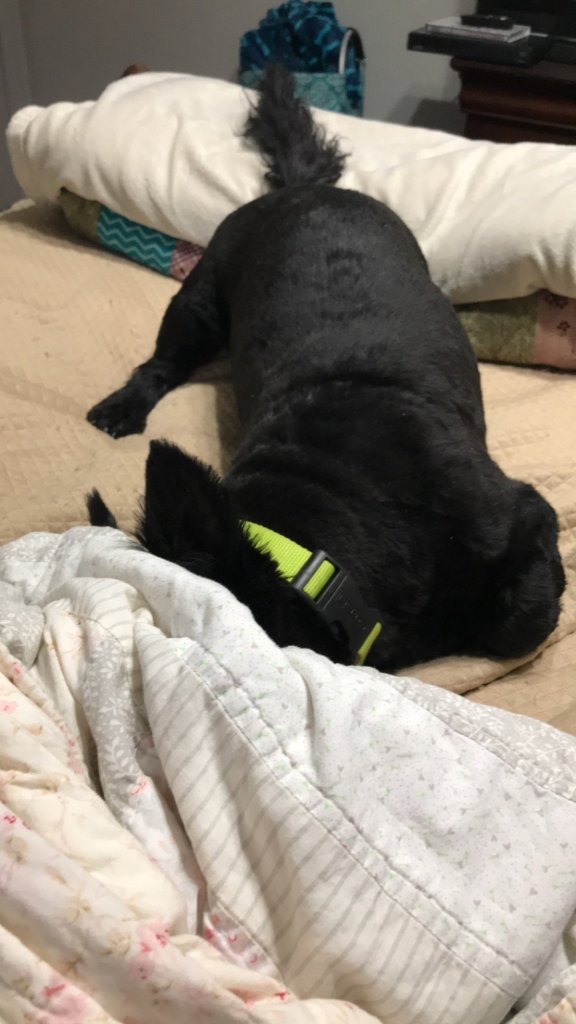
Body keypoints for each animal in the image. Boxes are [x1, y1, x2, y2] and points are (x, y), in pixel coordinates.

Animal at [86, 66, 565, 672]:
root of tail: (298, 189)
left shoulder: (525, 513)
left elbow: (519, 623)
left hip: (198, 294)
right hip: (198, 307)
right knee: (160, 366)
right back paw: (122, 407)